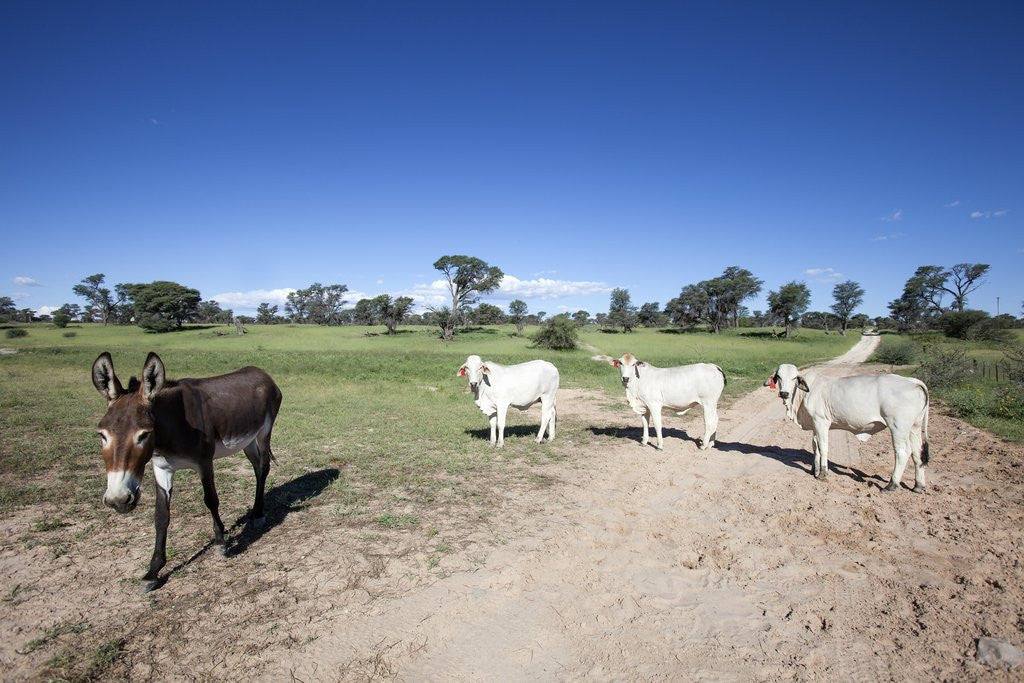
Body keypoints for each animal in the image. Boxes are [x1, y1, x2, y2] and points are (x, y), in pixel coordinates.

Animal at [767, 363, 930, 492]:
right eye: (779, 376)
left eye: (794, 378)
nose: (784, 393)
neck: (803, 394)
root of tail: (912, 381)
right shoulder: (815, 425)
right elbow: (815, 446)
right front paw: (814, 469)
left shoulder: (821, 422)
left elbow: (823, 447)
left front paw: (823, 474)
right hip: (914, 427)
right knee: (917, 452)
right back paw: (918, 486)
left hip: (898, 427)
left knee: (903, 452)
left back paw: (891, 485)